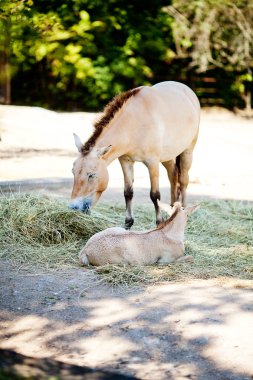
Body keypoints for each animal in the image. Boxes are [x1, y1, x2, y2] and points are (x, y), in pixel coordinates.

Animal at [69, 81, 200, 229]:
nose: (73, 207)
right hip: (167, 156)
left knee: (183, 181)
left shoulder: (152, 163)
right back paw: (173, 211)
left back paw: (184, 212)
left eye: (91, 175)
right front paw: (128, 224)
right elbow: (128, 192)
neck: (135, 123)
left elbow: (155, 195)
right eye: (73, 172)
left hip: (187, 152)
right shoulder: (125, 161)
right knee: (173, 175)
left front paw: (159, 224)